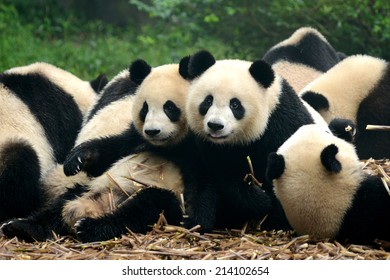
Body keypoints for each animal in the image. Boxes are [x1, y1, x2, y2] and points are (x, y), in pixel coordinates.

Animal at [180, 49, 330, 232]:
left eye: (235, 104)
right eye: (208, 101)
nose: (215, 125)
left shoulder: (282, 125)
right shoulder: (202, 145)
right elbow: (206, 179)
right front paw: (197, 222)